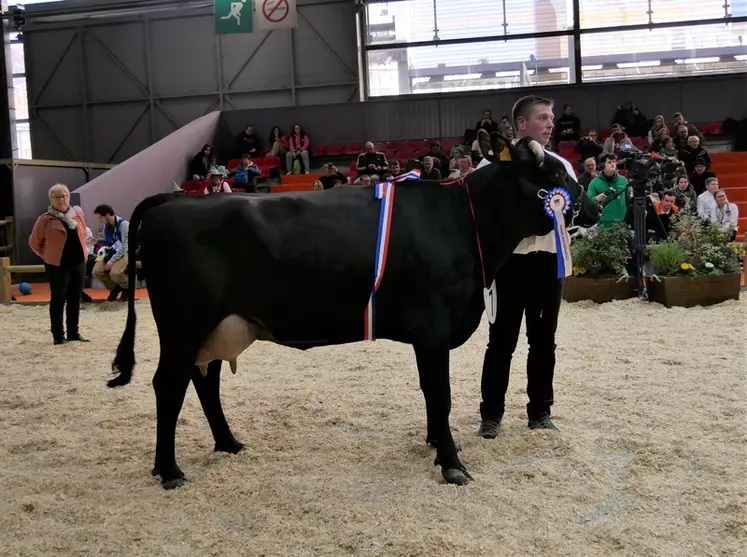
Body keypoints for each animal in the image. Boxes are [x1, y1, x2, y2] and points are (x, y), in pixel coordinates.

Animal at [108, 132, 600, 488]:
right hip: (183, 323)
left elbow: (431, 394)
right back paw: (169, 471)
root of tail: (174, 200)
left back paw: (228, 443)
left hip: (218, 326)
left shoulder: (429, 335)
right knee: (168, 386)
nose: (593, 205)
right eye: (551, 170)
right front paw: (451, 463)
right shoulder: (433, 326)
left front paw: (436, 445)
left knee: (204, 381)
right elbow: (439, 394)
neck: (465, 221)